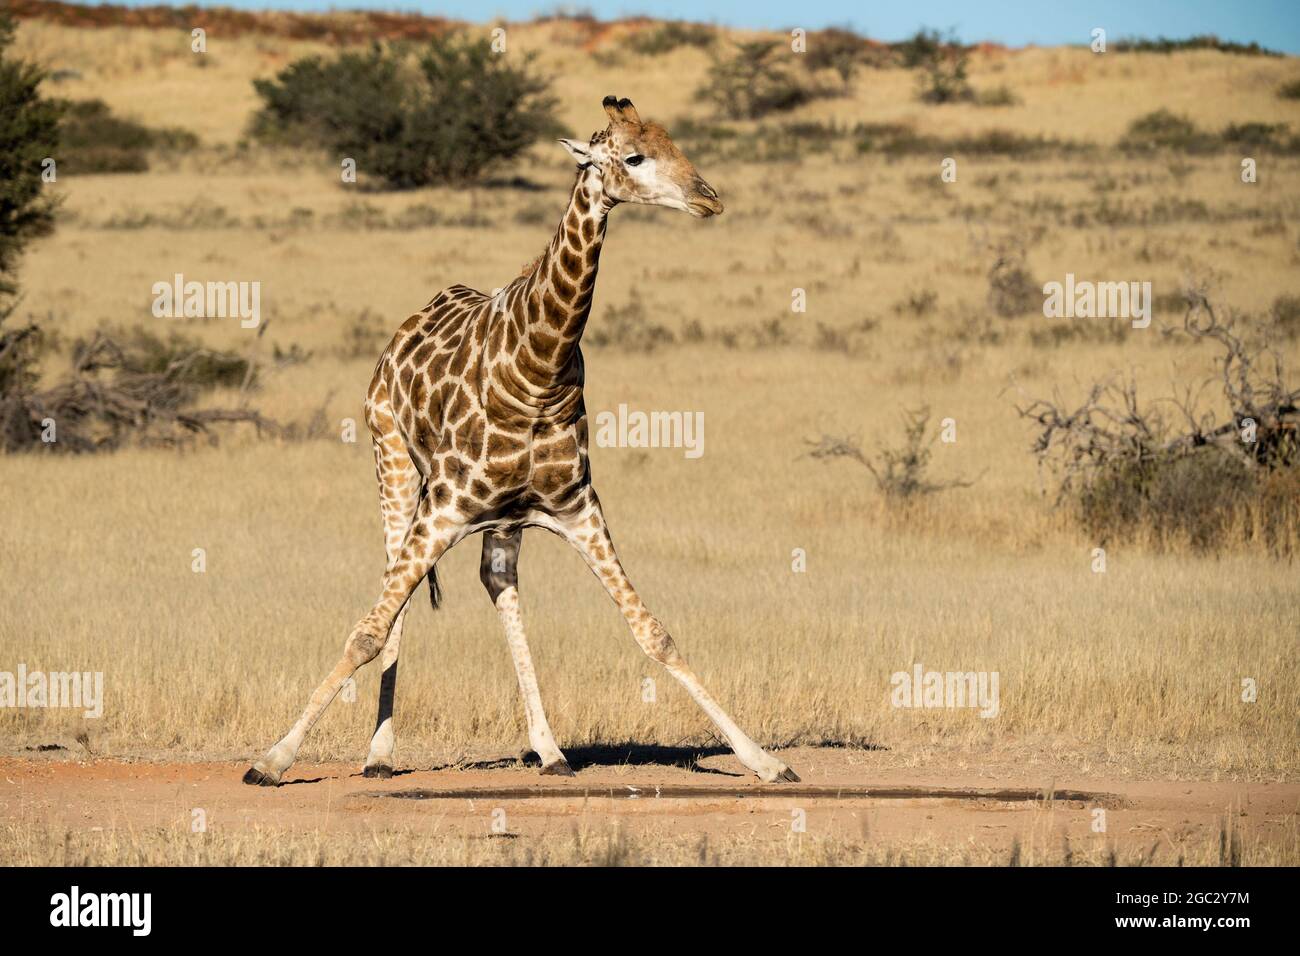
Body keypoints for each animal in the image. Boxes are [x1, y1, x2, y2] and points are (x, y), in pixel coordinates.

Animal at [239, 95, 795, 785]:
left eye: (675, 144)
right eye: (635, 156)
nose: (709, 198)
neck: (538, 371)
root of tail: (404, 328)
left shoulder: (578, 507)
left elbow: (654, 633)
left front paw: (764, 760)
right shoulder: (443, 507)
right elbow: (367, 631)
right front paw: (272, 759)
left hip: (502, 521)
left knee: (498, 585)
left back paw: (549, 750)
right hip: (392, 466)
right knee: (394, 600)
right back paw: (379, 756)